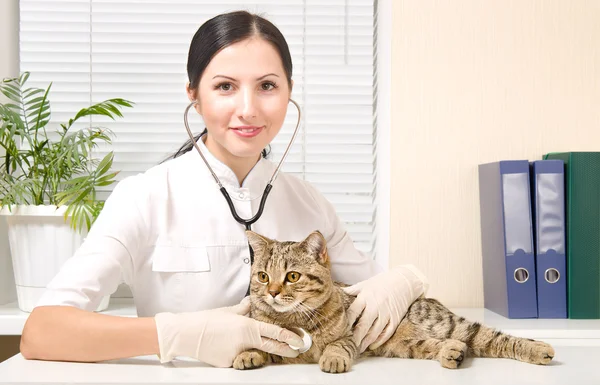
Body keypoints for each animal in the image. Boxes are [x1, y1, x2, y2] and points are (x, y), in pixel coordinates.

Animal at [236, 230, 556, 370]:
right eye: (263, 276)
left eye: (292, 276)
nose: (272, 292)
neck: (295, 318)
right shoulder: (281, 347)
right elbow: (261, 345)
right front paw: (247, 354)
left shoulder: (351, 336)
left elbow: (338, 345)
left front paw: (333, 358)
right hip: (409, 345)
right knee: (446, 346)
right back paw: (452, 352)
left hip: (450, 325)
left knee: (494, 338)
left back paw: (539, 350)